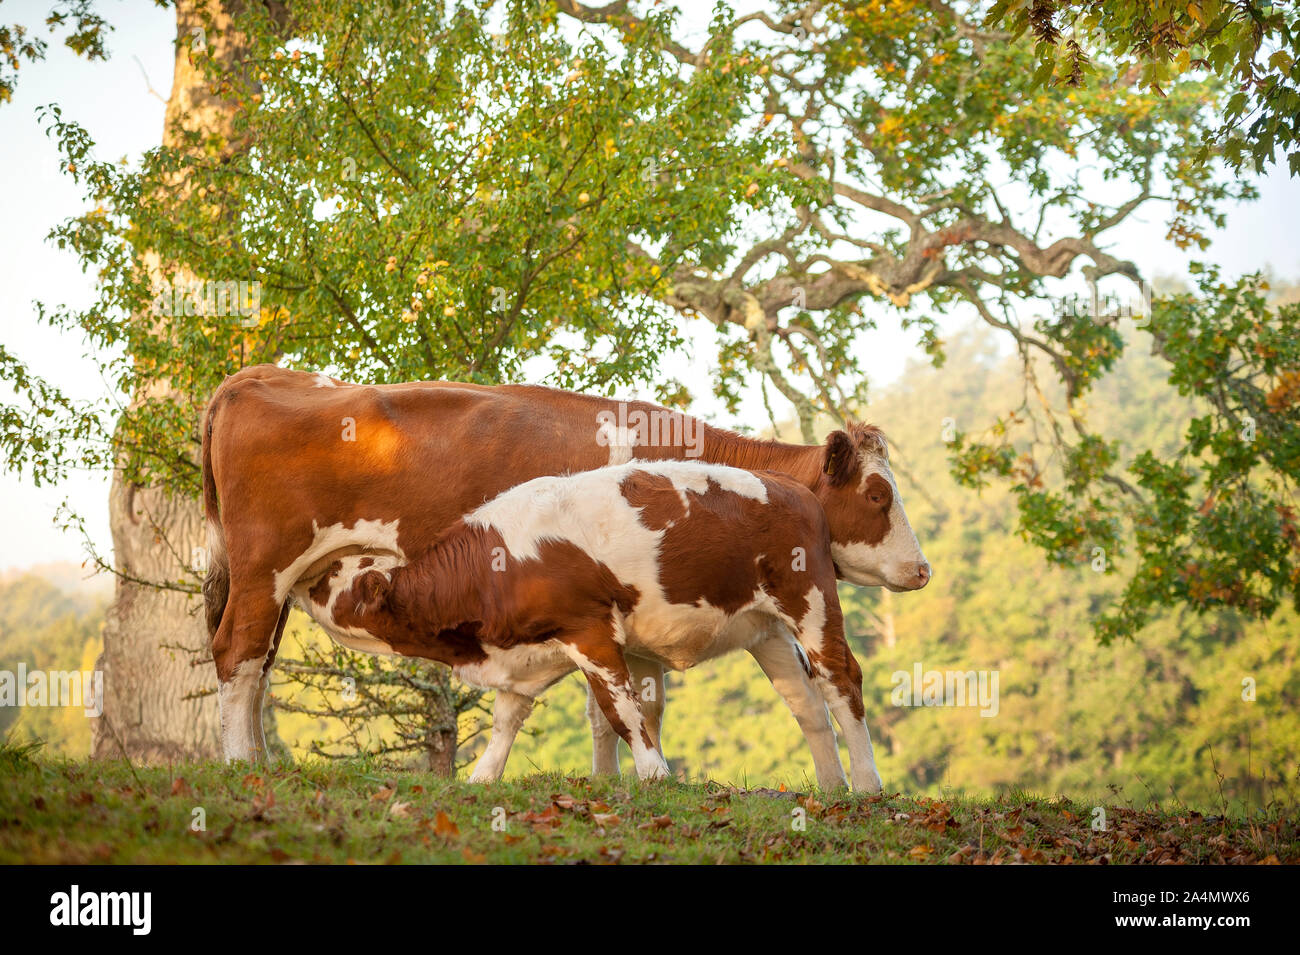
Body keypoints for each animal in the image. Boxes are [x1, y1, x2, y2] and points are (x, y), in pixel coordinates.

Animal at [295, 460, 881, 786]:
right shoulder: (524, 653)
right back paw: (832, 785)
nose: (305, 577)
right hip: (767, 629)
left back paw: (867, 784)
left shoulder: (591, 632)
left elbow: (622, 710)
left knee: (842, 680)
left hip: (810, 603)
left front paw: (653, 774)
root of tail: (791, 486)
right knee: (806, 704)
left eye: (335, 580)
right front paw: (483, 777)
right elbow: (506, 720)